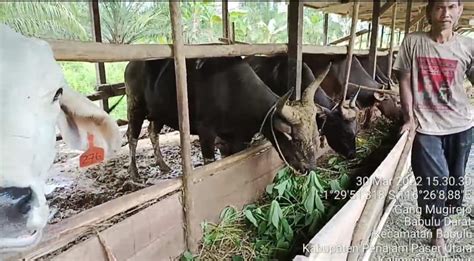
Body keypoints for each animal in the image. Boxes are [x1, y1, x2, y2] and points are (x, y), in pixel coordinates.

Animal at [124, 55, 328, 178]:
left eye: (315, 134)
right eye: (296, 140)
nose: (310, 168)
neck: (232, 90)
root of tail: (131, 64)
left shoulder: (237, 139)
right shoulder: (206, 133)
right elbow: (209, 162)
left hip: (158, 114)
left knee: (152, 132)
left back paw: (162, 165)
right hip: (135, 107)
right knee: (132, 136)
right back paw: (134, 173)